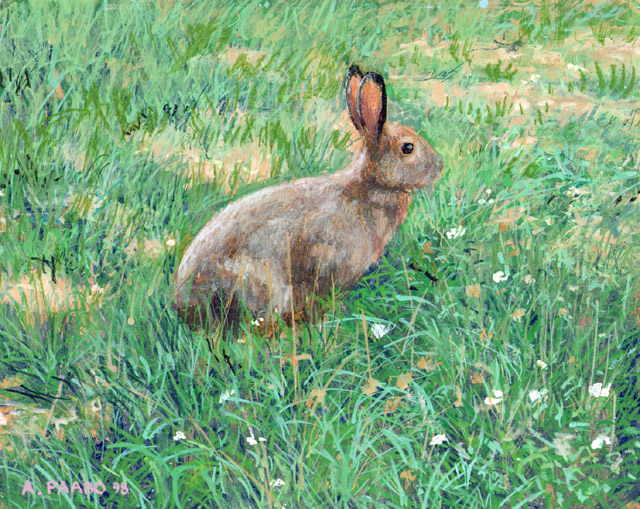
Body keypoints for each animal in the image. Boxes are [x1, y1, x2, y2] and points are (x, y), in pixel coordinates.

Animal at [175, 64, 444, 330]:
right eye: (408, 148)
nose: (439, 166)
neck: (368, 186)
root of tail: (185, 305)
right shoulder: (326, 259)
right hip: (262, 284)